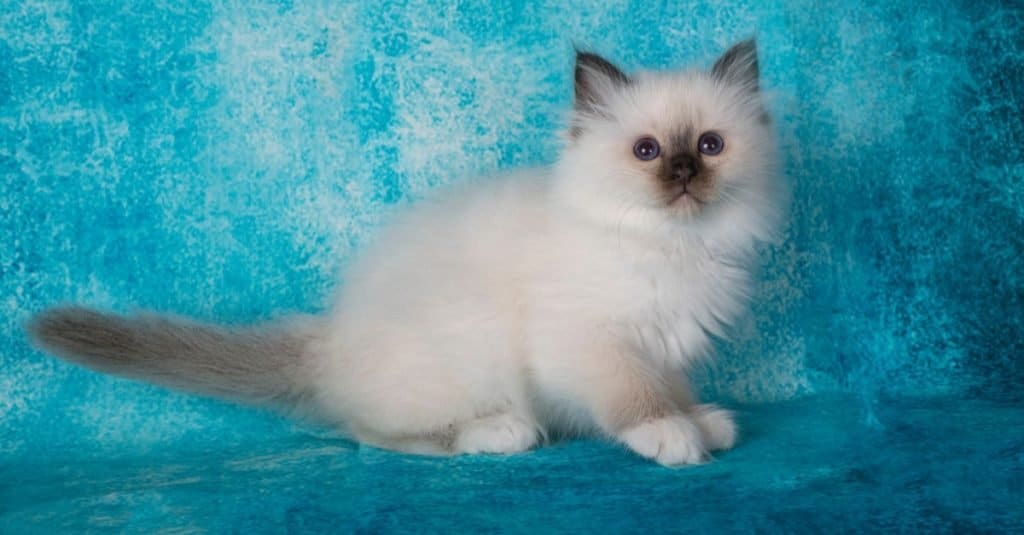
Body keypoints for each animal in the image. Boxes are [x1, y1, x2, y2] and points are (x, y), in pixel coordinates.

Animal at [32, 39, 782, 463]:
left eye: (709, 145)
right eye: (647, 151)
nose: (682, 174)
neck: (675, 244)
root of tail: (329, 337)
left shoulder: (668, 344)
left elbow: (673, 387)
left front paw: (700, 421)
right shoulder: (591, 341)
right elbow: (636, 396)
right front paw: (671, 437)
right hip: (466, 349)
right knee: (374, 433)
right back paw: (499, 434)